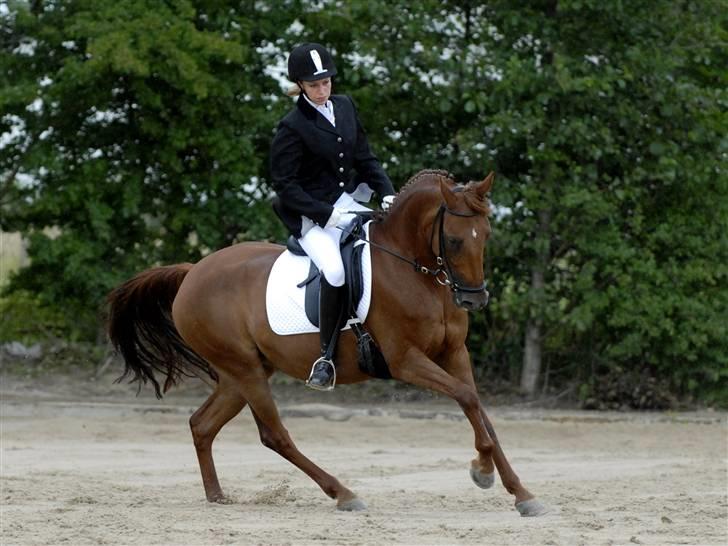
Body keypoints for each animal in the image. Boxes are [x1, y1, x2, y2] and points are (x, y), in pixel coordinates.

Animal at [105, 169, 544, 516]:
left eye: (486, 235)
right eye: (453, 241)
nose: (474, 300)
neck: (416, 272)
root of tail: (193, 270)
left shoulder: (454, 353)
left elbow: (479, 409)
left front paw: (520, 492)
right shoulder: (405, 360)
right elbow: (467, 399)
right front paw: (482, 471)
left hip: (240, 373)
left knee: (202, 424)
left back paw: (217, 496)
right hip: (245, 371)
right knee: (273, 435)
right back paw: (343, 493)